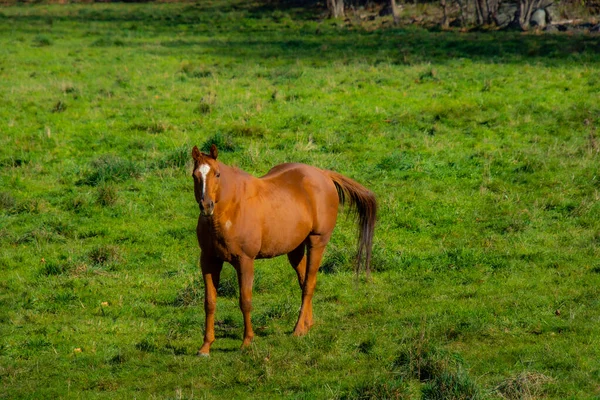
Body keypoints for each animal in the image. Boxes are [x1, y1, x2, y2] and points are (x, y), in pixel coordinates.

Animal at [191, 145, 376, 356]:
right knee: (304, 281)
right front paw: (205, 346)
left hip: (317, 242)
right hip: (295, 249)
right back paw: (307, 325)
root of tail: (323, 174)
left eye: (217, 174)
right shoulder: (209, 260)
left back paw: (298, 329)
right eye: (195, 175)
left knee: (309, 284)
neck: (230, 209)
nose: (206, 206)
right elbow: (209, 302)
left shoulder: (245, 261)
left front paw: (247, 341)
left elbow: (245, 301)